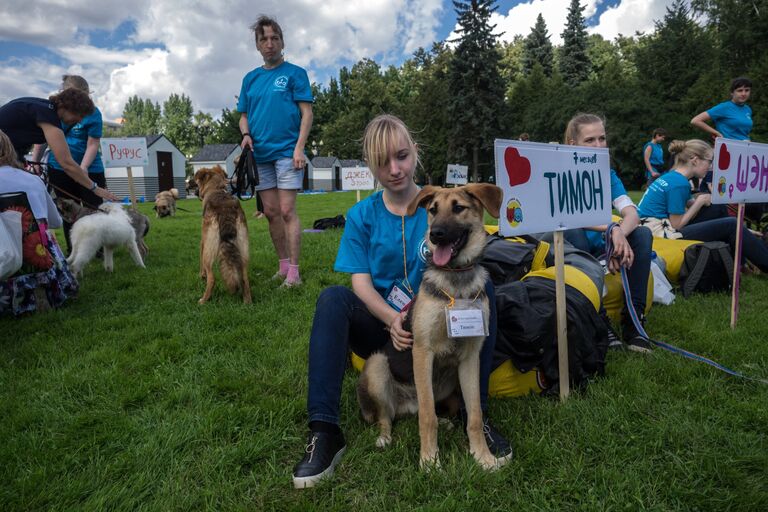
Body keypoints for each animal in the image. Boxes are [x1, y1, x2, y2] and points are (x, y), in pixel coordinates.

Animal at [192, 167, 252, 304]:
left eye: (197, 183)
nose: (195, 192)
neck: (216, 188)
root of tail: (226, 210)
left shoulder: (203, 242)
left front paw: (201, 275)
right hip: (243, 248)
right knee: (244, 277)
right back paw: (247, 301)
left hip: (209, 249)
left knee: (212, 278)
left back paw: (204, 300)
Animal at [356, 182, 508, 470]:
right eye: (433, 210)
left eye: (458, 208)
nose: (435, 235)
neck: (456, 280)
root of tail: (406, 405)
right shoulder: (423, 352)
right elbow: (427, 417)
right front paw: (429, 461)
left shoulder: (470, 357)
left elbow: (474, 414)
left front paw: (483, 457)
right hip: (378, 365)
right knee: (387, 416)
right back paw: (384, 437)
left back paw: (447, 422)